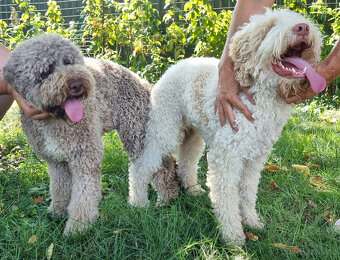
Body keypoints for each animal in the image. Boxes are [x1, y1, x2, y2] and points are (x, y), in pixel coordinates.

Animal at [129, 9, 326, 246]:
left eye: (301, 21)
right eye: (270, 26)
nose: (303, 28)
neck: (260, 96)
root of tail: (174, 66)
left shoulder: (255, 159)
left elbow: (248, 192)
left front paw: (252, 221)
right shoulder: (226, 156)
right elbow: (227, 198)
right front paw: (234, 237)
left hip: (193, 136)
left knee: (186, 164)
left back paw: (193, 190)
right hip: (165, 130)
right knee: (141, 166)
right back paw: (138, 202)